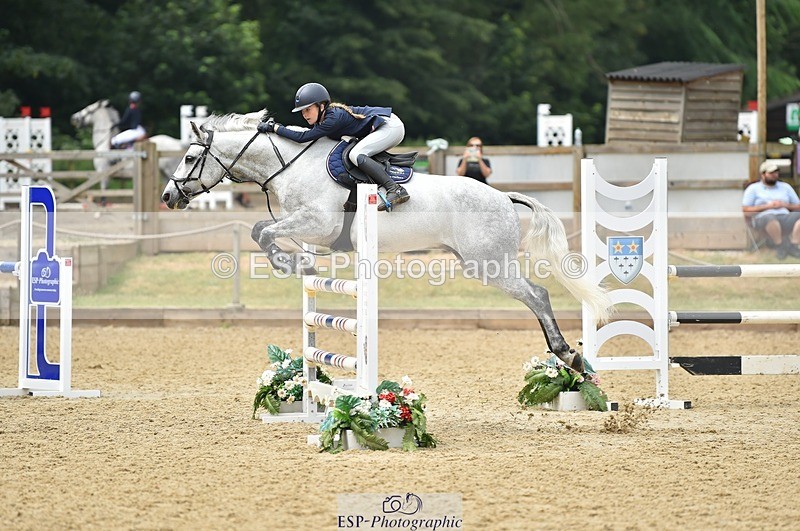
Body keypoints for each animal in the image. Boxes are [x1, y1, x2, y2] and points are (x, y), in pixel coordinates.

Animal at [161, 111, 611, 372]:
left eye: (189, 158)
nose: (167, 197)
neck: (290, 164)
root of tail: (502, 196)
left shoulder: (318, 222)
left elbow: (263, 232)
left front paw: (289, 264)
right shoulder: (307, 226)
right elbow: (262, 230)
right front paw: (301, 265)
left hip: (490, 264)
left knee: (536, 294)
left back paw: (568, 354)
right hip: (481, 262)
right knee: (536, 294)